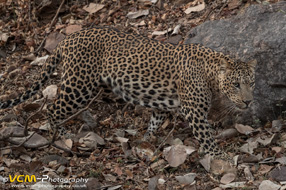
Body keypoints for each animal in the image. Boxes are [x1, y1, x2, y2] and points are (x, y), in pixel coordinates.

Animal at [0, 26, 256, 159]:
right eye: (236, 84)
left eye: (251, 83)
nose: (248, 102)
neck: (211, 72)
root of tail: (68, 39)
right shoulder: (195, 112)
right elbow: (207, 137)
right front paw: (221, 156)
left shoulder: (161, 103)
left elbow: (155, 121)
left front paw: (146, 140)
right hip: (79, 84)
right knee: (53, 108)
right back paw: (63, 136)